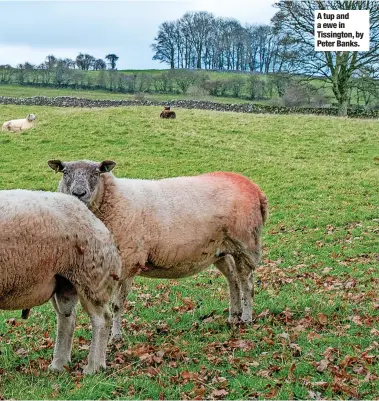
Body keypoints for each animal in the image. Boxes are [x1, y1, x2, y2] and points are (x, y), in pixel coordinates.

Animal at [0, 189, 121, 374]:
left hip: (91, 278)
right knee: (67, 319)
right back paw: (59, 364)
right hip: (63, 282)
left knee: (102, 319)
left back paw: (93, 366)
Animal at [49, 158, 268, 340]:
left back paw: (246, 319)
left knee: (247, 283)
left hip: (245, 244)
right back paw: (234, 316)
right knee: (233, 279)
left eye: (96, 173)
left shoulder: (128, 263)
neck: (114, 201)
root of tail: (257, 190)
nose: (78, 194)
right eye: (65, 172)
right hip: (220, 249)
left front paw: (115, 337)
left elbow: (117, 305)